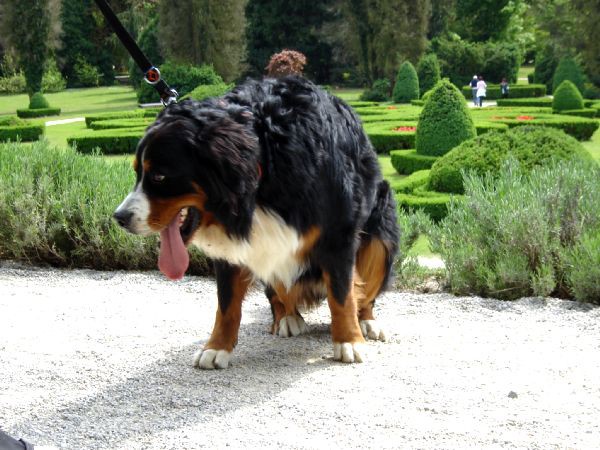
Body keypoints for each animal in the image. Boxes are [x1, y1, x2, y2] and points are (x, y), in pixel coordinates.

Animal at [115, 76, 400, 370]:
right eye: (138, 172)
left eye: (159, 176)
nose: (120, 218)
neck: (266, 160)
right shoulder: (229, 247)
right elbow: (226, 303)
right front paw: (216, 347)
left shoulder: (338, 234)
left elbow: (342, 295)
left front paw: (349, 341)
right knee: (278, 293)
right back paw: (287, 317)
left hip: (381, 237)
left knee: (364, 290)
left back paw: (366, 322)